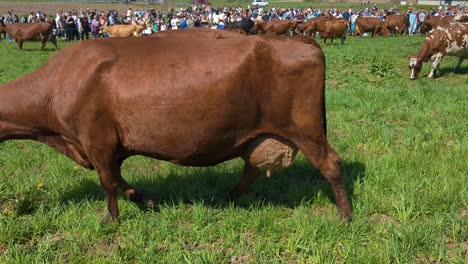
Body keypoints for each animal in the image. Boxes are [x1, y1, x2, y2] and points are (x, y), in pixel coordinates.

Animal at [0, 31, 352, 221]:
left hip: (306, 129)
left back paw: (345, 215)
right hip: (259, 133)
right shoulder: (109, 147)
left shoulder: (96, 139)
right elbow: (118, 180)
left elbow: (108, 182)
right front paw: (147, 200)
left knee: (331, 164)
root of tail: (300, 39)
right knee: (251, 168)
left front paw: (111, 219)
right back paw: (227, 198)